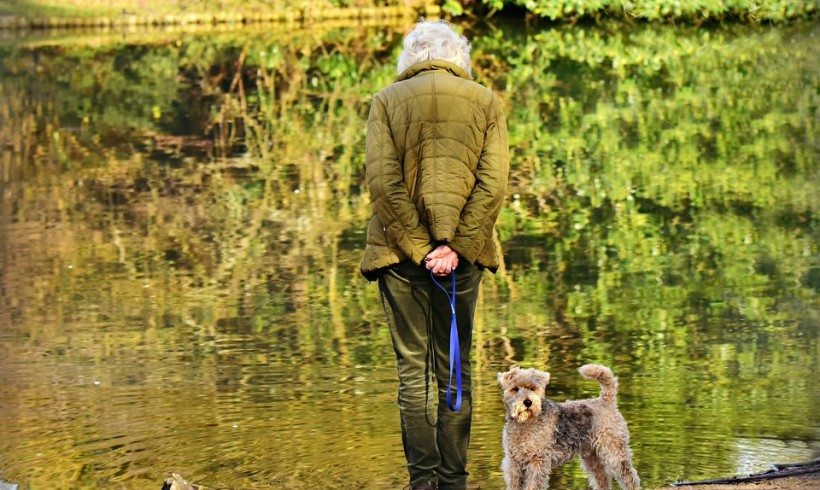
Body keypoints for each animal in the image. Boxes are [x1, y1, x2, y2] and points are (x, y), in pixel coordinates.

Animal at [496, 364, 644, 490]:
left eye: (533, 388)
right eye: (515, 389)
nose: (527, 402)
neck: (525, 424)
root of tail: (606, 400)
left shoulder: (537, 460)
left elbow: (533, 485)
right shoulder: (513, 461)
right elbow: (514, 484)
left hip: (614, 453)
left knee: (630, 478)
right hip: (592, 456)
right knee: (603, 479)